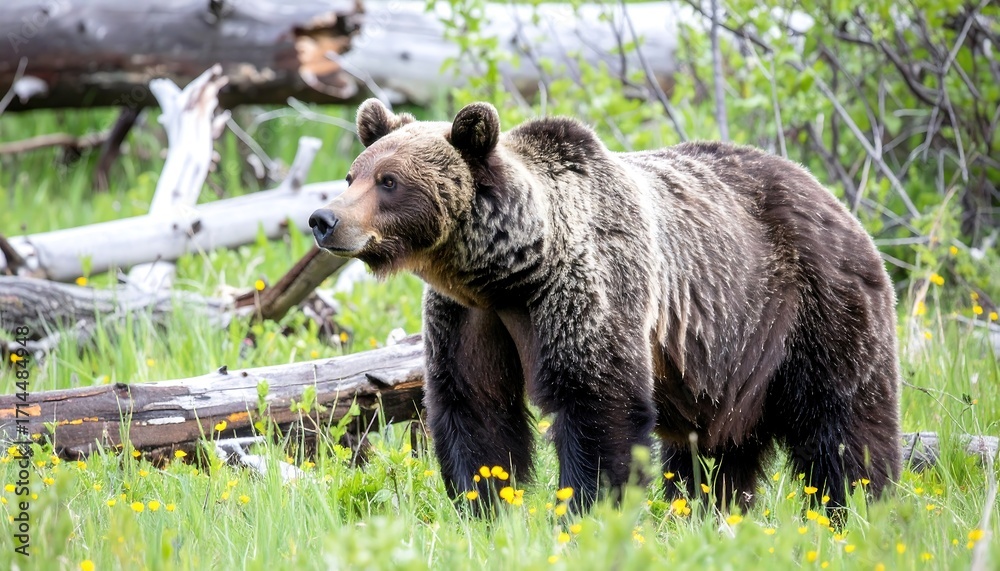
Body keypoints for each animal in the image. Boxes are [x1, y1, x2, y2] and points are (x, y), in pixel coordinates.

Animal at [309, 99, 902, 513]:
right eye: (353, 175)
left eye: (389, 181)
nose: (323, 219)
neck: (509, 271)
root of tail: (833, 198)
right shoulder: (468, 317)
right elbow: (474, 407)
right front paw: (485, 508)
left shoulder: (588, 287)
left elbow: (598, 400)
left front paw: (586, 509)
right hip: (729, 361)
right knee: (714, 452)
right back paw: (710, 511)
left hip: (811, 307)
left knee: (843, 422)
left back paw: (855, 506)